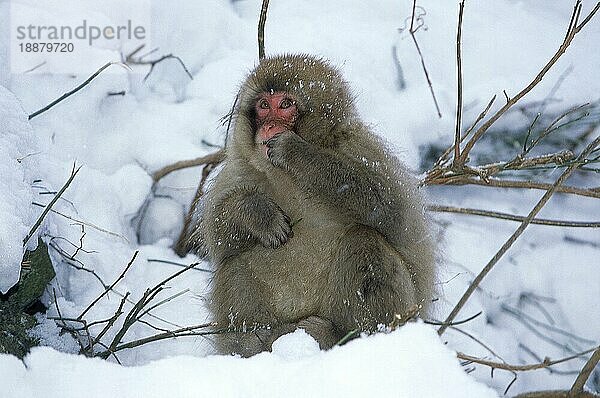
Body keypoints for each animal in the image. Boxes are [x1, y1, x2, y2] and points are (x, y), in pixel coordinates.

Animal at [197, 53, 436, 358]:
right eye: (264, 105)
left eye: (286, 104)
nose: (270, 126)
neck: (283, 175)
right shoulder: (241, 171)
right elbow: (220, 238)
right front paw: (258, 213)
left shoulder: (363, 150)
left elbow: (391, 212)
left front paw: (296, 151)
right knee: (234, 263)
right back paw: (252, 346)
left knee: (365, 240)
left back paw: (343, 337)